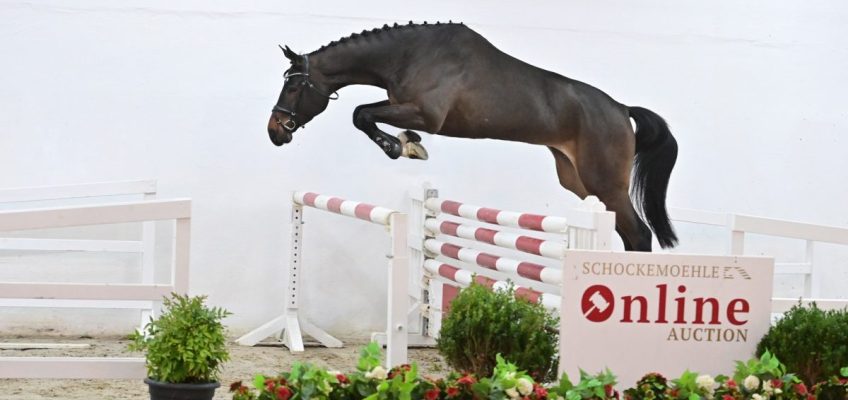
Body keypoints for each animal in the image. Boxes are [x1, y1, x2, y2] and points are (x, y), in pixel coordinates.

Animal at [268, 21, 680, 252]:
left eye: (293, 87)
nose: (274, 131)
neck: (409, 54)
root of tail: (621, 109)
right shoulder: (403, 104)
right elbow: (365, 113)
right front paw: (409, 142)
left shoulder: (428, 114)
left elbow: (361, 114)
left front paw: (401, 146)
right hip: (578, 181)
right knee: (627, 235)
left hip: (605, 183)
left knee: (640, 236)